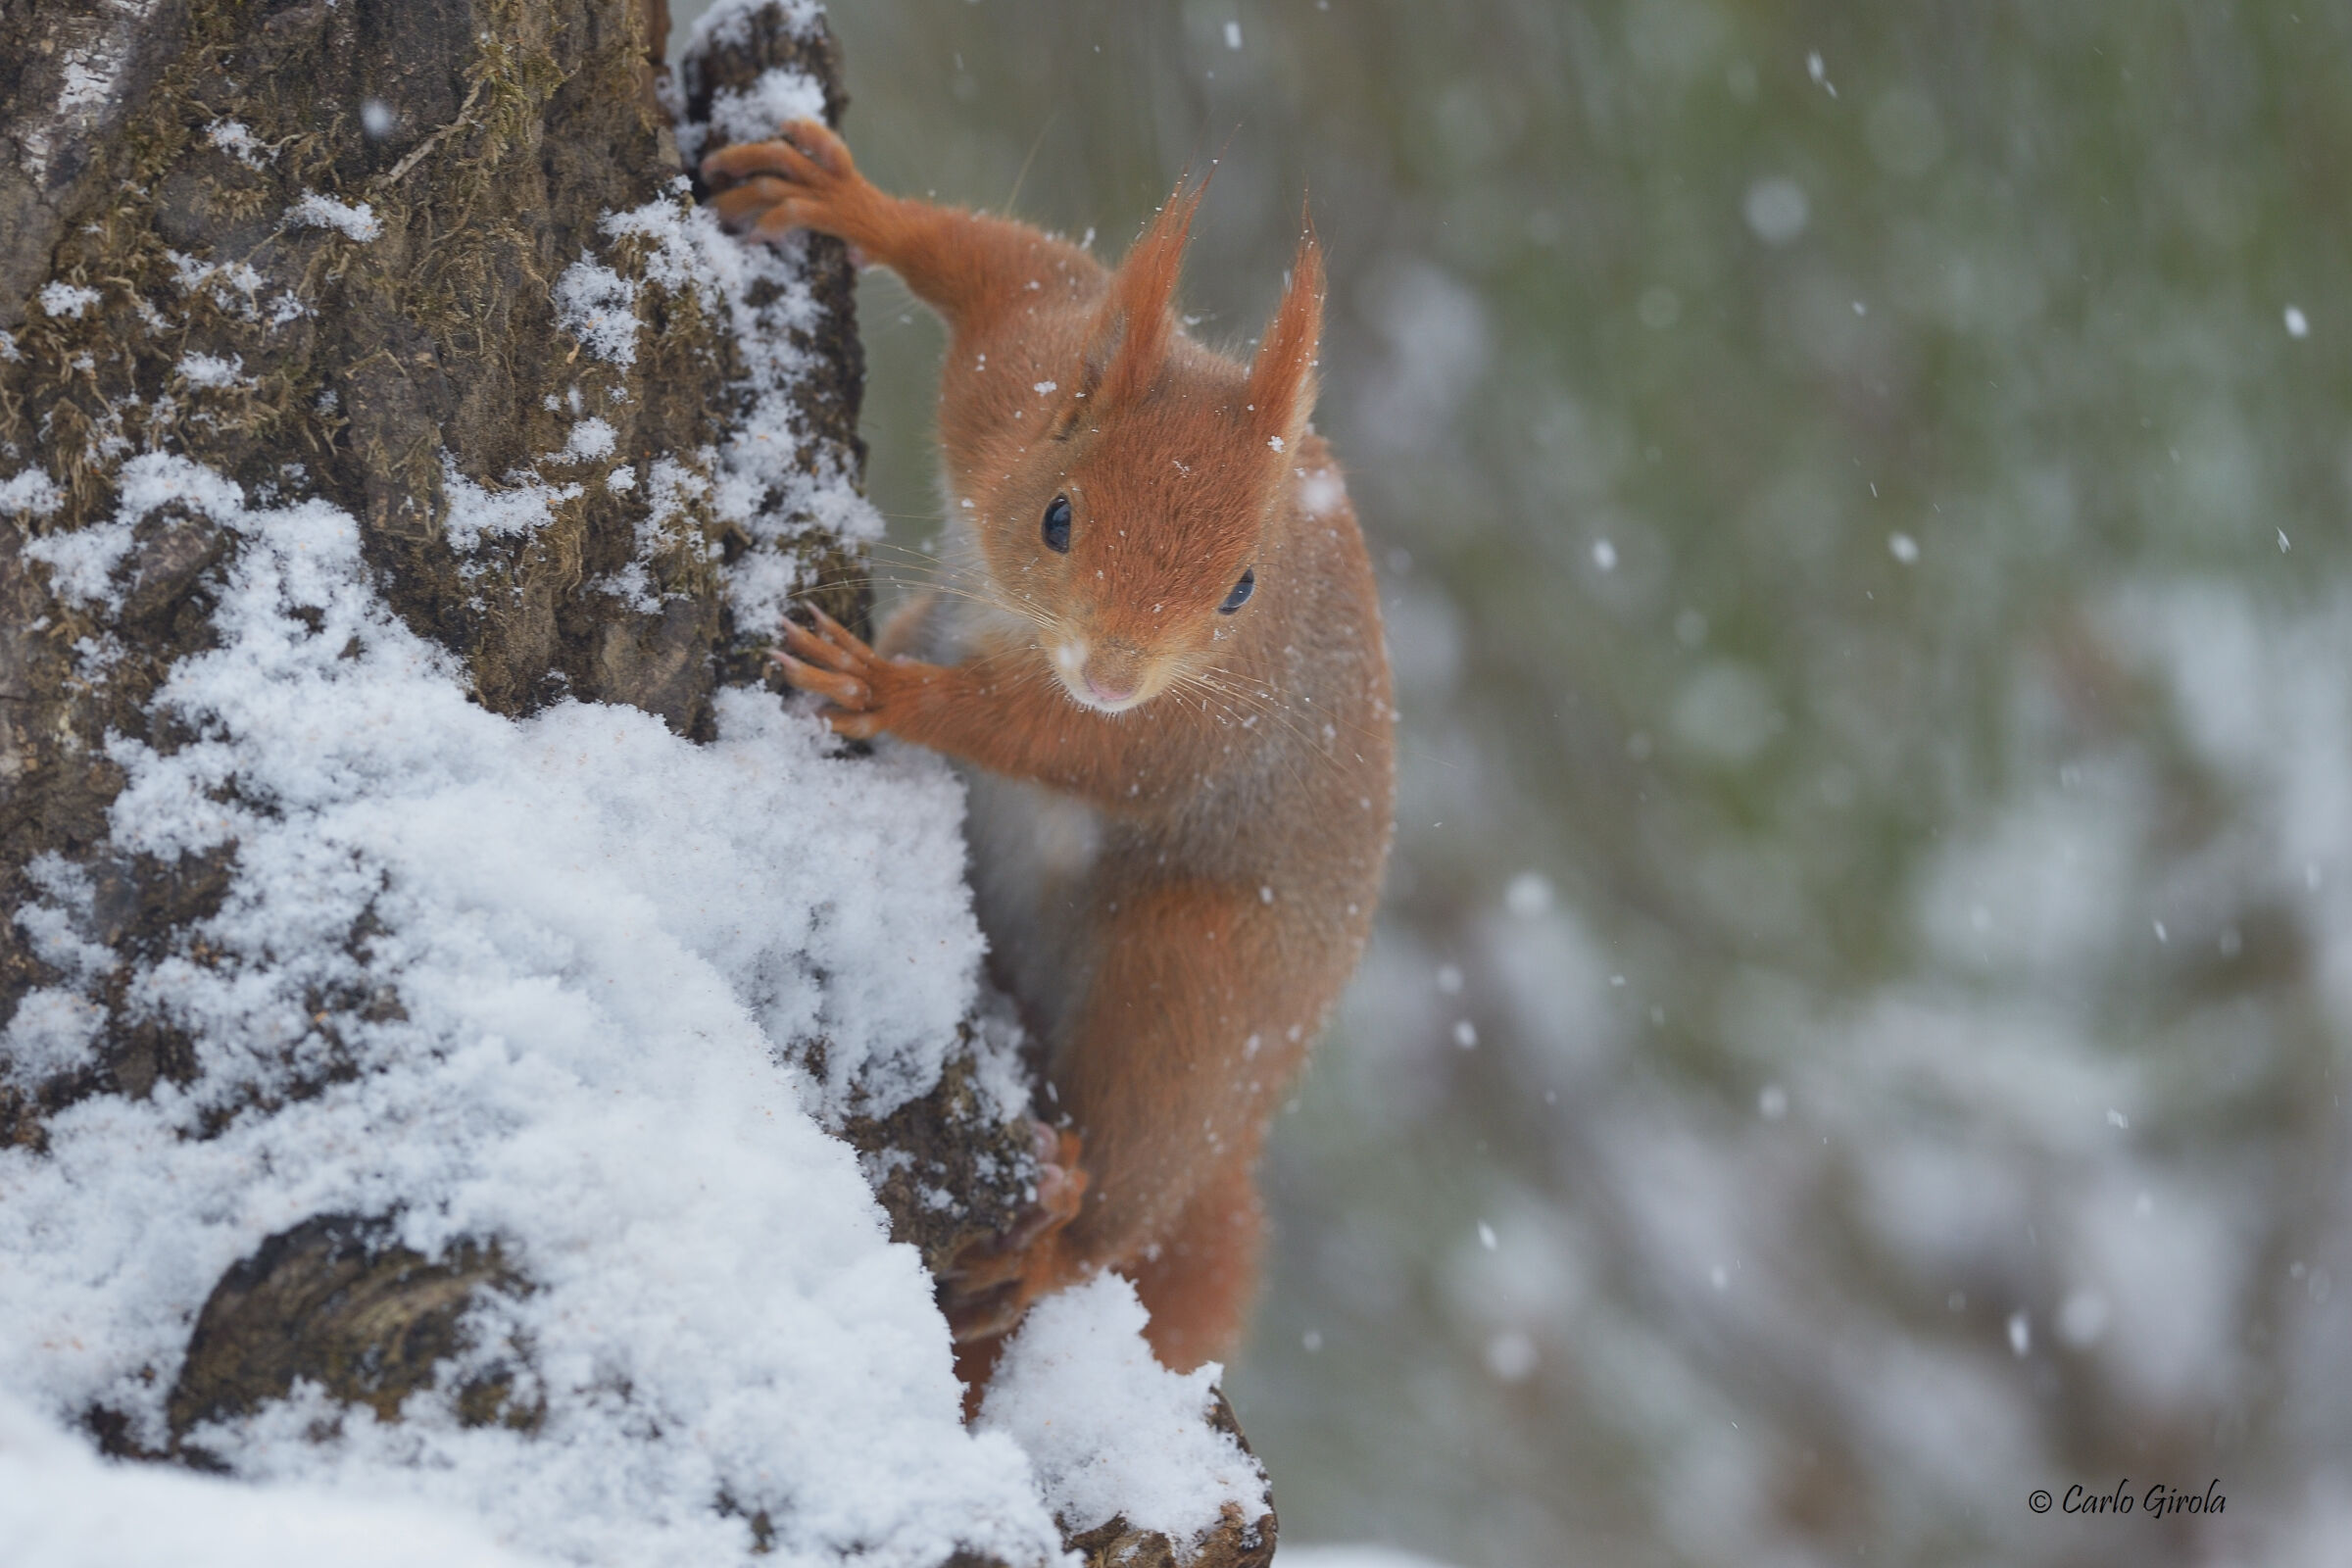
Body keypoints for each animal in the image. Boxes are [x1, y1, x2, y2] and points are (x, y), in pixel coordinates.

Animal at [703, 121, 1395, 1383]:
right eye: (1059, 518)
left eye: (1241, 589)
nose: (1115, 672)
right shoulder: (1019, 367)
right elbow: (997, 265)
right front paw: (842, 195)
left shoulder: (1200, 730)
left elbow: (1053, 739)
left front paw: (891, 691)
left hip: (1202, 989)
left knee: (1137, 1167)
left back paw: (1054, 1247)